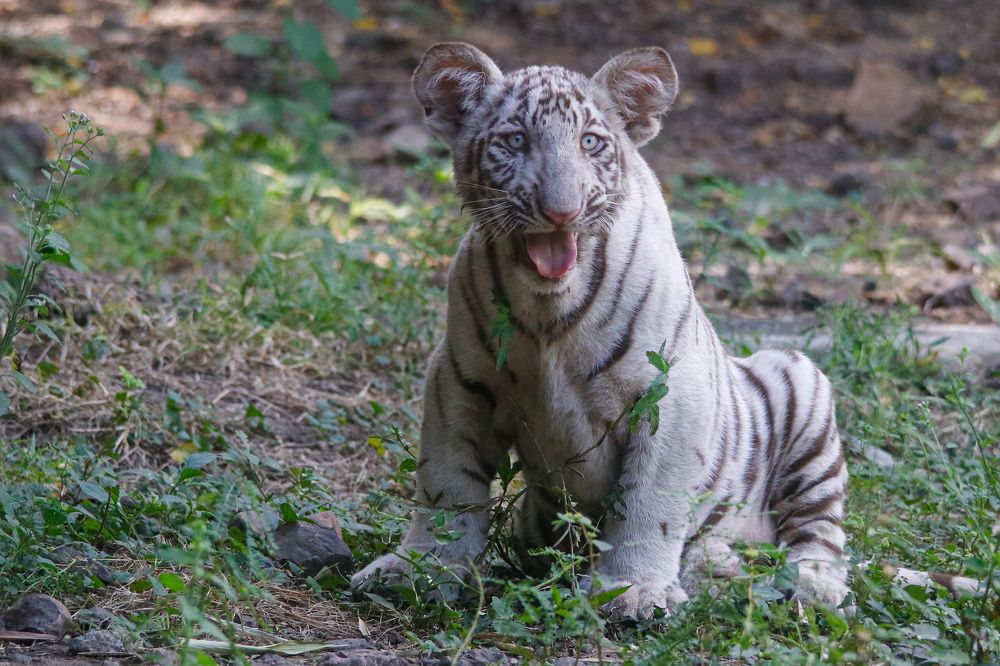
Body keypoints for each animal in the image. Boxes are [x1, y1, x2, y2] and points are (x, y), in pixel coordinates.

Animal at [350, 43, 850, 619]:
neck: (547, 308)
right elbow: (446, 482)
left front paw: (631, 589)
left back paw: (809, 586)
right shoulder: (458, 379)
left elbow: (650, 501)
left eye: (590, 143)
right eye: (515, 141)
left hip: (799, 384)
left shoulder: (672, 392)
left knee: (819, 532)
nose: (560, 212)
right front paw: (421, 568)